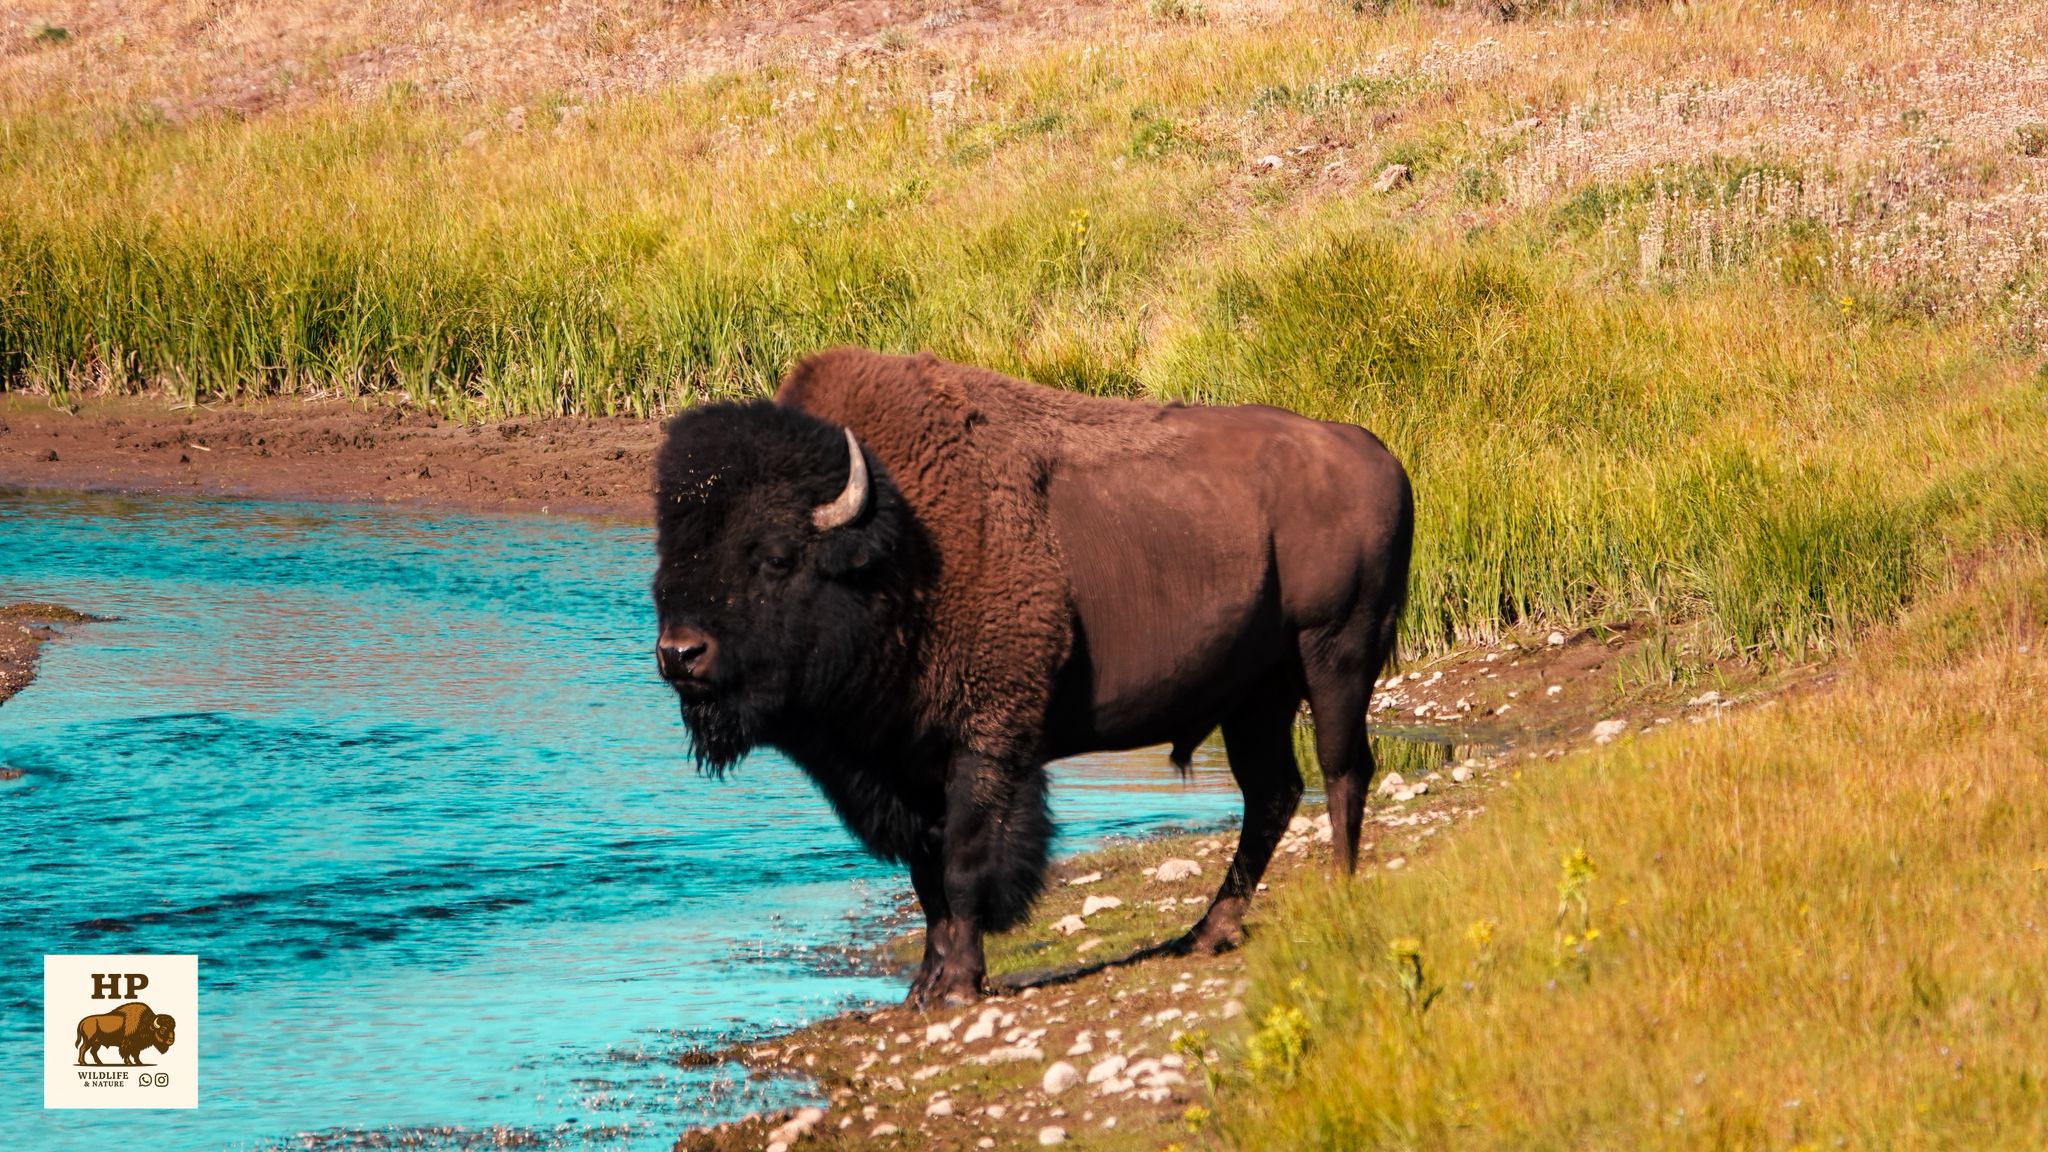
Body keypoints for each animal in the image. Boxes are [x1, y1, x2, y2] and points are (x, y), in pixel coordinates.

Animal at [653, 348, 1412, 1005]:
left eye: (775, 557)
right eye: (670, 552)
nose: (679, 653)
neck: (899, 551)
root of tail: (1378, 454)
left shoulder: (986, 740)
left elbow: (963, 864)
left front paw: (960, 983)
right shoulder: (904, 767)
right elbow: (926, 878)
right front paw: (923, 987)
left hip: (1336, 654)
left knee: (1342, 772)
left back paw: (1338, 891)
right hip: (1255, 697)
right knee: (1272, 793)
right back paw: (1205, 933)